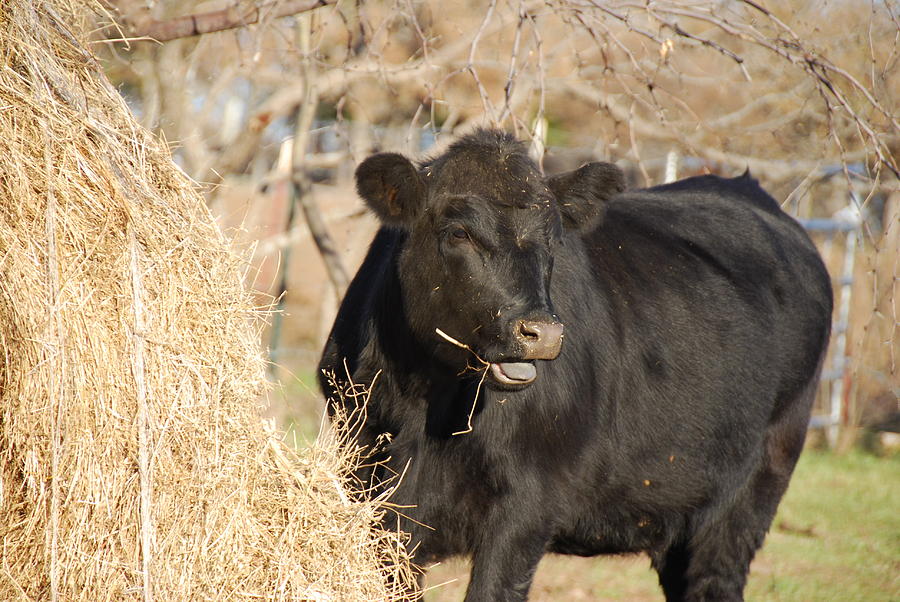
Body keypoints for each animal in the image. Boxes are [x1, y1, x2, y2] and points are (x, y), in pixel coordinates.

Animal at [320, 129, 832, 596]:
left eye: (554, 240)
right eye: (458, 232)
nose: (542, 332)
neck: (429, 409)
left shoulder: (527, 509)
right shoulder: (373, 496)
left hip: (754, 484)